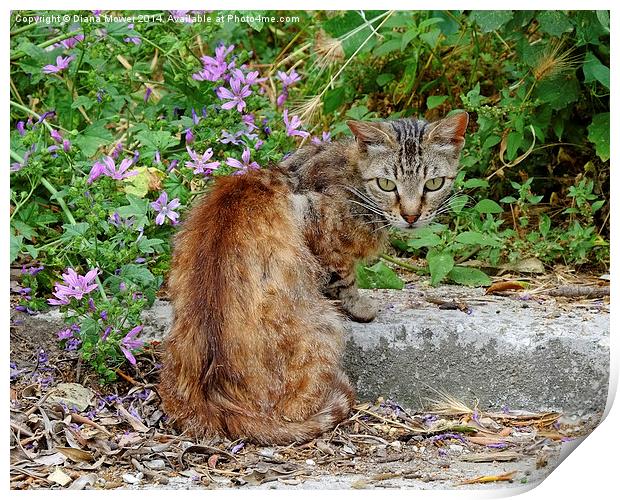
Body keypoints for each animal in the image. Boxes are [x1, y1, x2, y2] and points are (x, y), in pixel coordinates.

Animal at [157, 111, 468, 444]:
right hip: (325, 330)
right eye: (387, 184)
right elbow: (342, 276)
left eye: (433, 183)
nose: (411, 216)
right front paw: (359, 306)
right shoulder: (317, 224)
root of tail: (218, 402)